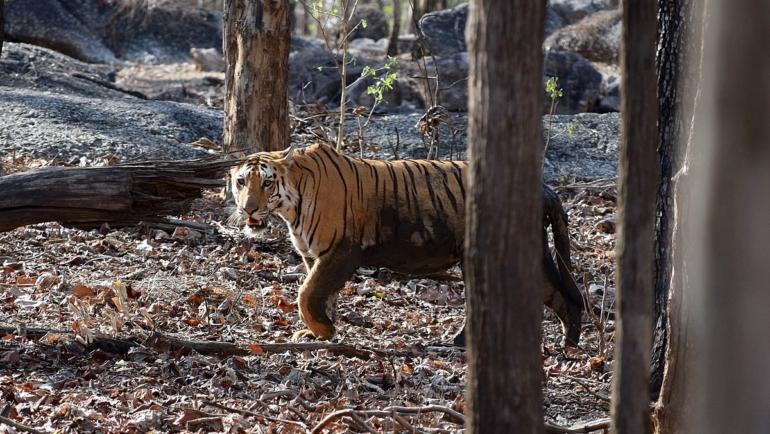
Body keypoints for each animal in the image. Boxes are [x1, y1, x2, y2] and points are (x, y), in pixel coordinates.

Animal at [231, 144, 580, 348]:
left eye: (267, 182)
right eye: (241, 182)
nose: (248, 209)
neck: (291, 206)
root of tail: (543, 186)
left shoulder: (341, 251)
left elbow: (307, 293)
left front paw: (324, 331)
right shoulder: (314, 255)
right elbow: (323, 294)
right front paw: (321, 333)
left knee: (564, 296)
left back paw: (568, 345)